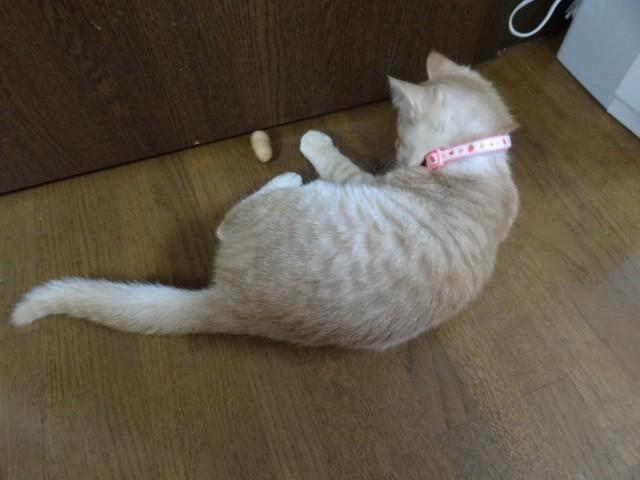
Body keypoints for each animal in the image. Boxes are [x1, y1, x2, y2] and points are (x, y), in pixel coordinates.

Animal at [10, 52, 519, 350]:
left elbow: (336, 162)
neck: (476, 158)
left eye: (397, 135)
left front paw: (315, 143)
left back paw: (288, 176)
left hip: (288, 207)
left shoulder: (363, 181)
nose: (395, 154)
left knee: (227, 222)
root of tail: (229, 303)